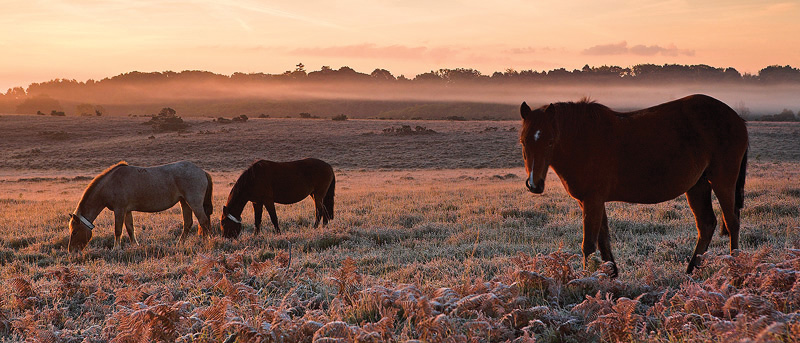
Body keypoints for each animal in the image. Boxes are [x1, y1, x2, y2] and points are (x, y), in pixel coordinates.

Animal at [67, 161, 214, 253]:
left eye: (74, 232)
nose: (71, 251)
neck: (110, 183)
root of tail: (202, 172)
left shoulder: (119, 210)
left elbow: (118, 230)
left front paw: (116, 249)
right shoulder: (127, 211)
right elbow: (130, 229)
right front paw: (134, 245)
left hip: (194, 202)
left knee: (203, 221)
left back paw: (205, 243)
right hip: (184, 202)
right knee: (188, 223)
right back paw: (180, 244)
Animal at [520, 94, 752, 276]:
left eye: (550, 142)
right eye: (523, 141)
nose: (534, 184)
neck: (583, 140)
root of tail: (737, 119)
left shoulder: (592, 199)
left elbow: (589, 244)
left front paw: (586, 280)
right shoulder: (592, 201)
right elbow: (603, 238)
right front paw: (611, 274)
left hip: (723, 182)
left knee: (732, 222)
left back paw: (735, 268)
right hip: (698, 186)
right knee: (706, 224)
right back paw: (691, 269)